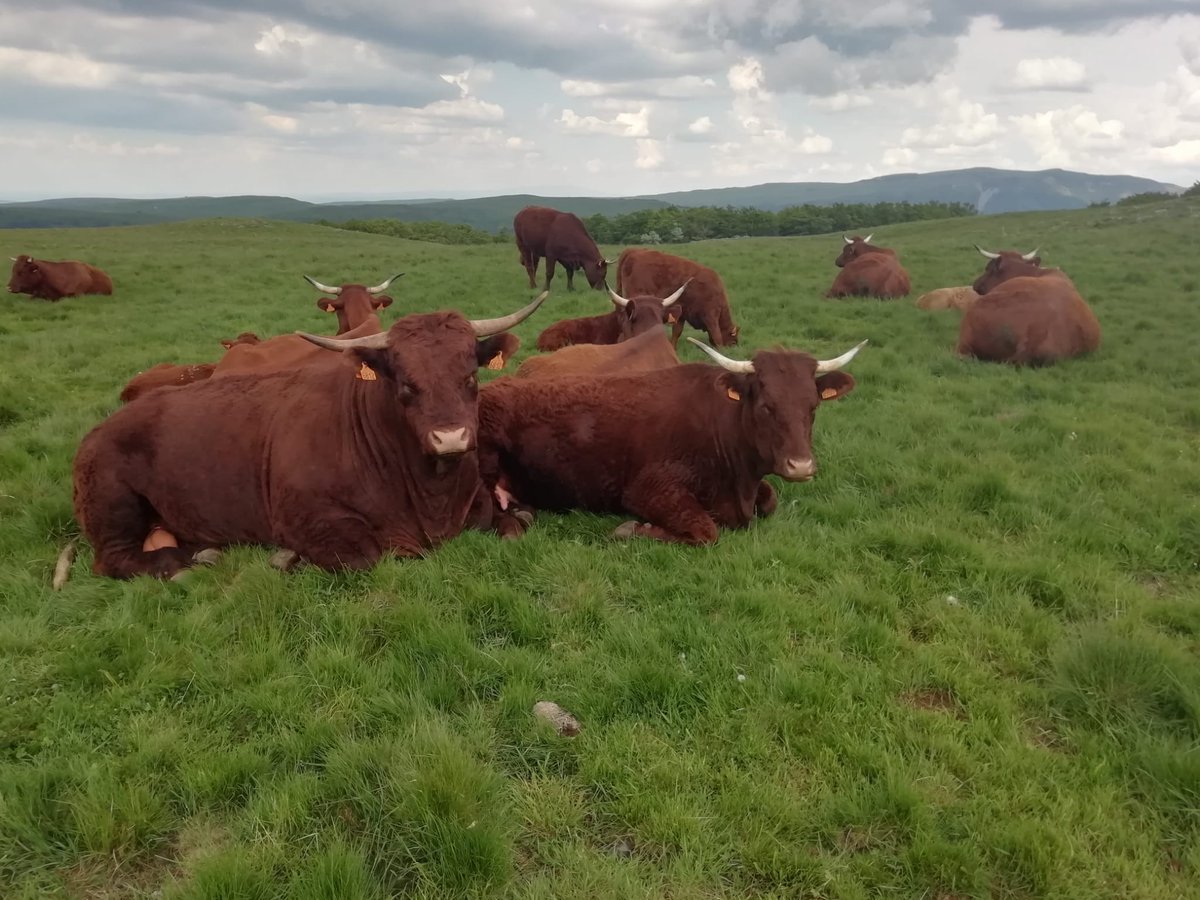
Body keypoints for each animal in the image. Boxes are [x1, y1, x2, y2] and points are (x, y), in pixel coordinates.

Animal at [73, 293, 549, 580]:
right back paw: (179, 562)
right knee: (113, 558)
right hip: (113, 503)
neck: (431, 492)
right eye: (405, 384)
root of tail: (104, 426)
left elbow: (513, 525)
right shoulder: (310, 518)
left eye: (470, 375)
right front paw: (290, 559)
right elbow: (375, 555)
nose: (450, 438)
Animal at [477, 337, 866, 544]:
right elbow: (706, 530)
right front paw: (633, 528)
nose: (800, 466)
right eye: (766, 406)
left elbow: (770, 501)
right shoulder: (649, 488)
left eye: (813, 406)